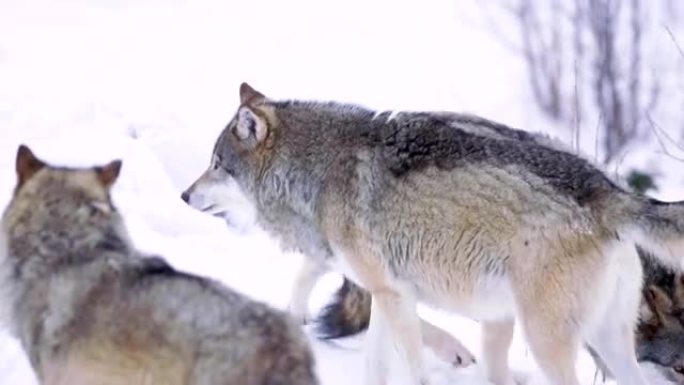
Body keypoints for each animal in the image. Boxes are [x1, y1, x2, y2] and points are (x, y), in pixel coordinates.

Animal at [184, 82, 684, 384]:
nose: (185, 195)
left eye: (216, 165)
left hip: (548, 341)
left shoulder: (392, 295)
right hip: (601, 341)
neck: (318, 171)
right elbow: (376, 363)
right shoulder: (387, 293)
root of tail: (610, 191)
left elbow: (414, 366)